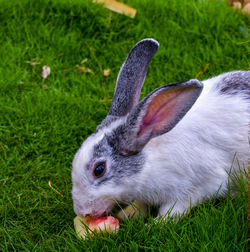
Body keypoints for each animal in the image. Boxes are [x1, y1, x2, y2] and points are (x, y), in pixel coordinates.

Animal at [71, 38, 249, 220]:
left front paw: (156, 223)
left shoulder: (203, 184)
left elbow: (173, 210)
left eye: (99, 170)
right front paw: (127, 214)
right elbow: (140, 205)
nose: (82, 211)